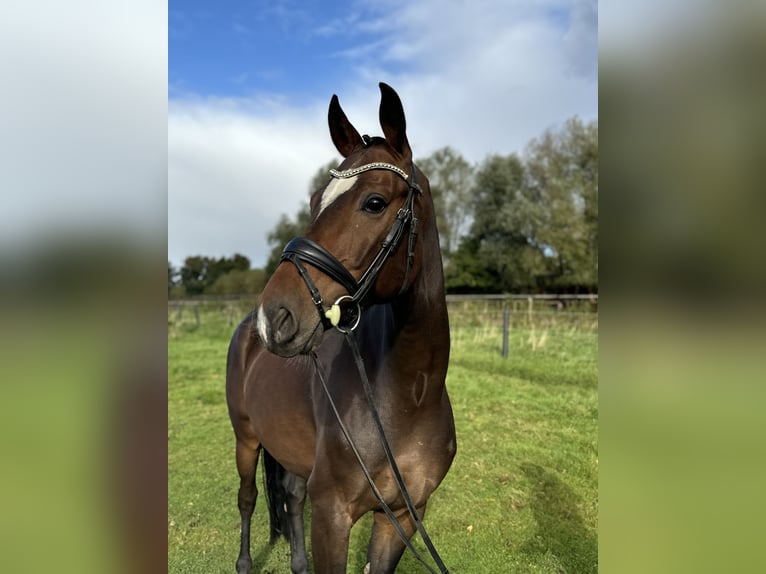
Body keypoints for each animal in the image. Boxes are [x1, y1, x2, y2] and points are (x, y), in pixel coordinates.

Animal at [228, 82, 456, 574]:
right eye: (316, 201)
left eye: (375, 203)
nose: (274, 317)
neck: (408, 397)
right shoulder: (332, 516)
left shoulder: (402, 517)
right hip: (246, 439)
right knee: (248, 498)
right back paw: (244, 562)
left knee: (291, 498)